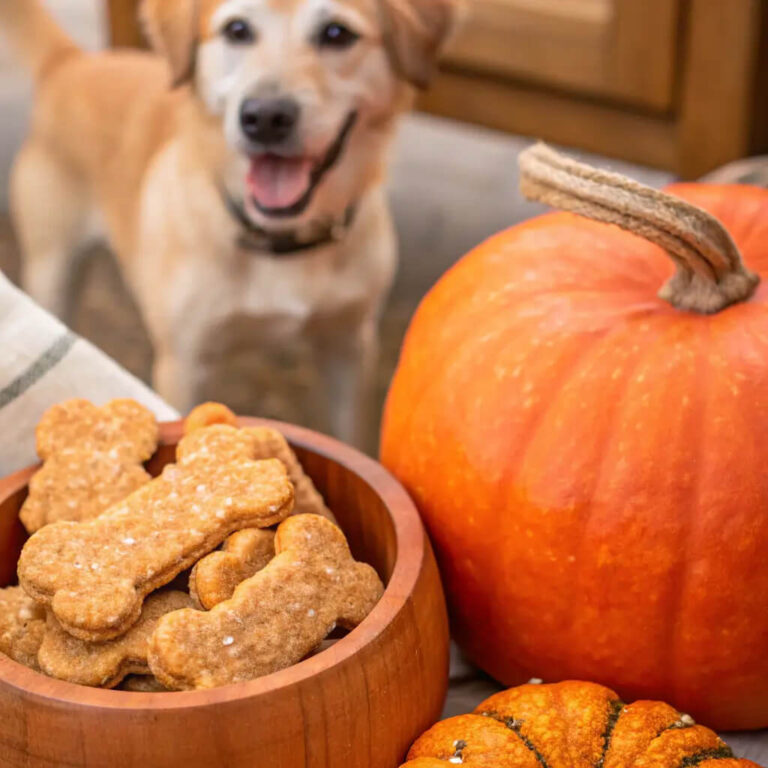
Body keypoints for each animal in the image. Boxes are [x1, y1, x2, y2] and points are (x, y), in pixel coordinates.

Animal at [0, 0, 456, 448]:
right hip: (52, 268)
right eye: (238, 30)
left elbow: (353, 434)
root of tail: (73, 61)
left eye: (336, 34)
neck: (277, 242)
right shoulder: (184, 363)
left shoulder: (350, 347)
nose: (266, 117)